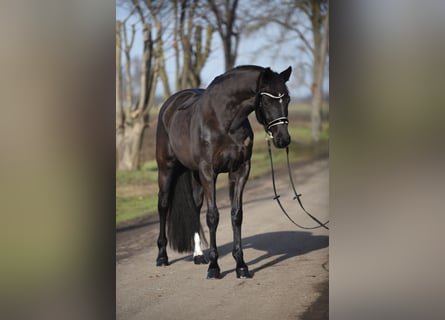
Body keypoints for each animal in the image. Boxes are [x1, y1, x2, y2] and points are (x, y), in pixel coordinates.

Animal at [154, 64, 294, 278]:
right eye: (267, 100)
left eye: (287, 99)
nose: (283, 139)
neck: (224, 121)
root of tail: (169, 105)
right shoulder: (208, 172)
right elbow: (213, 217)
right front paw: (214, 267)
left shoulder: (240, 171)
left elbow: (236, 215)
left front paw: (241, 265)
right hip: (166, 168)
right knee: (163, 205)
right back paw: (162, 256)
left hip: (194, 173)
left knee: (195, 206)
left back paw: (198, 255)